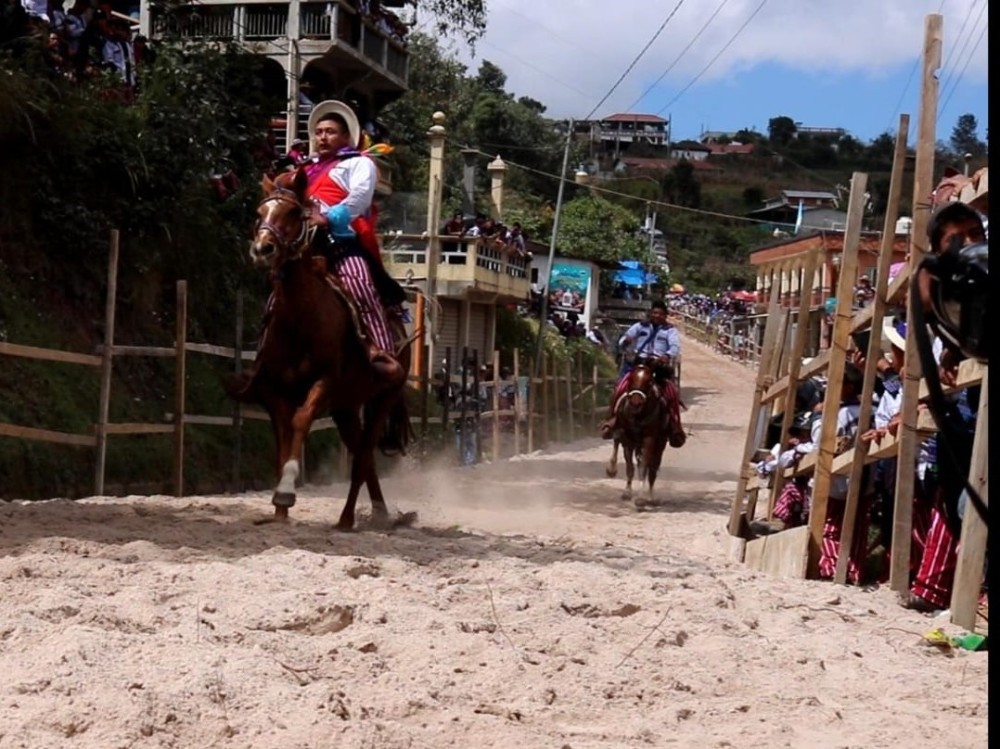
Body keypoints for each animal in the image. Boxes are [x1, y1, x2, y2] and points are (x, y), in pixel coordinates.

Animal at [229, 167, 412, 528]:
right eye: (260, 212)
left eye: (294, 213)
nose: (263, 249)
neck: (300, 319)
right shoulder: (274, 391)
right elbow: (284, 437)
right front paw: (279, 513)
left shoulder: (324, 381)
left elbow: (301, 421)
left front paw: (286, 490)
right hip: (346, 408)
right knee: (363, 457)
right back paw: (376, 513)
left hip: (383, 398)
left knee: (363, 457)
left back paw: (349, 519)